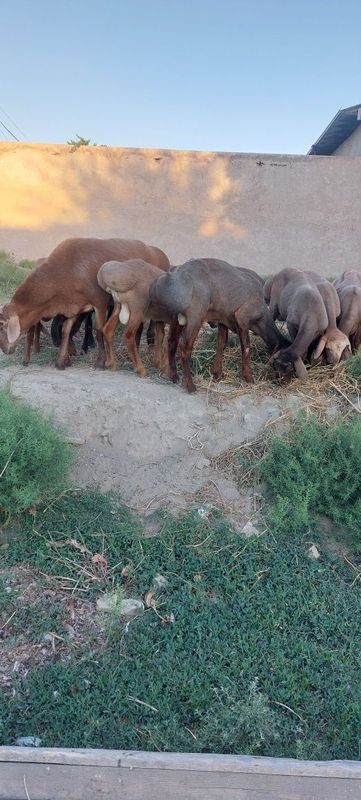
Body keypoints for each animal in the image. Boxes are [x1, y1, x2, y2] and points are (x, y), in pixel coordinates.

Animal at [0, 236, 169, 370]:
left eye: (2, 325)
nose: (4, 350)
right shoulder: (74, 306)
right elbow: (66, 330)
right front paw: (62, 361)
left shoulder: (99, 303)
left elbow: (99, 331)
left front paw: (100, 362)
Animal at [148, 258, 286, 392]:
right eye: (282, 364)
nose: (281, 383)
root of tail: (177, 275)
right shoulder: (242, 317)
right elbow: (246, 347)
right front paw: (249, 377)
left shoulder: (223, 320)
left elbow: (221, 344)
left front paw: (217, 374)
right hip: (195, 317)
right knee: (185, 347)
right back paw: (190, 385)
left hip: (176, 318)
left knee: (172, 341)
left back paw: (174, 376)